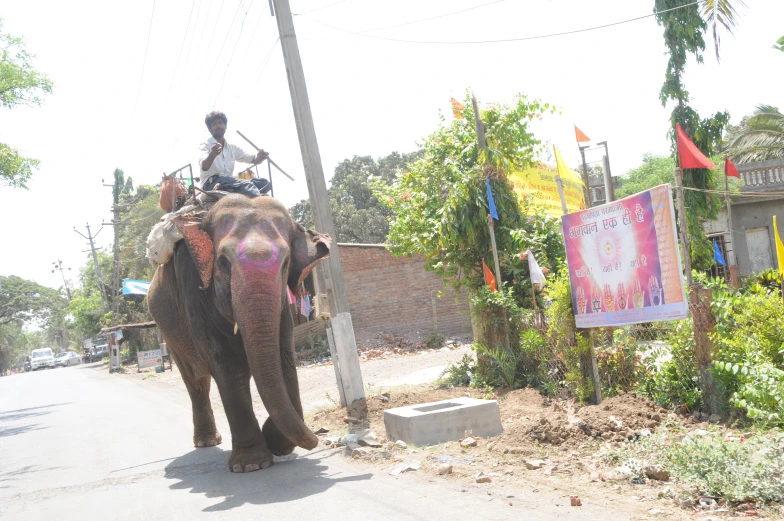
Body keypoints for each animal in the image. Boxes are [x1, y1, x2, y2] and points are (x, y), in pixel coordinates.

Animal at [149, 194, 330, 472]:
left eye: (286, 263)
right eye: (223, 262)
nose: (319, 438)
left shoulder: (282, 309)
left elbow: (285, 360)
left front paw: (277, 444)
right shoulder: (195, 293)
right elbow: (229, 366)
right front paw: (251, 465)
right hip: (169, 334)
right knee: (196, 382)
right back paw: (207, 442)